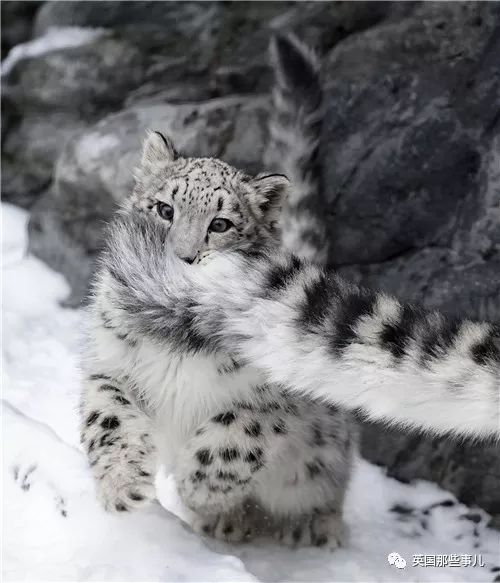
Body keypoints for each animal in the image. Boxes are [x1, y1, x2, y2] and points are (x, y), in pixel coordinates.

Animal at [81, 35, 356, 548]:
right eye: (164, 209)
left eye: (221, 224)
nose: (183, 258)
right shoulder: (110, 362)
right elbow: (108, 419)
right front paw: (124, 486)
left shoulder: (269, 400)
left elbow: (231, 440)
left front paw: (196, 485)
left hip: (321, 455)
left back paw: (310, 525)